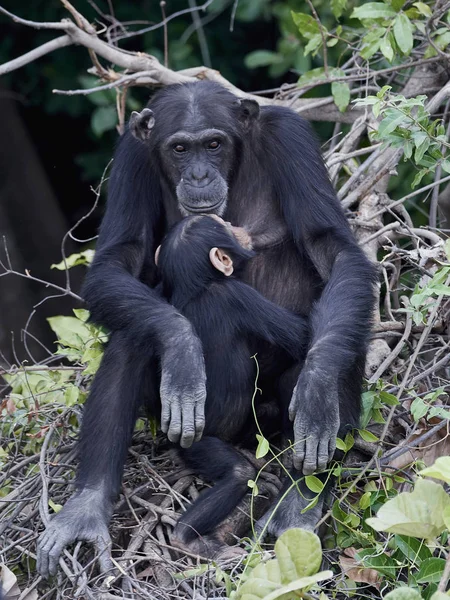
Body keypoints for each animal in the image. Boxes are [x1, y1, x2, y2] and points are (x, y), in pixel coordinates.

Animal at [156, 216, 310, 556]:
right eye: (222, 226)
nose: (231, 223)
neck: (196, 287)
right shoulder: (237, 296)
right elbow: (299, 337)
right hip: (199, 444)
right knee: (238, 474)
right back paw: (186, 537)